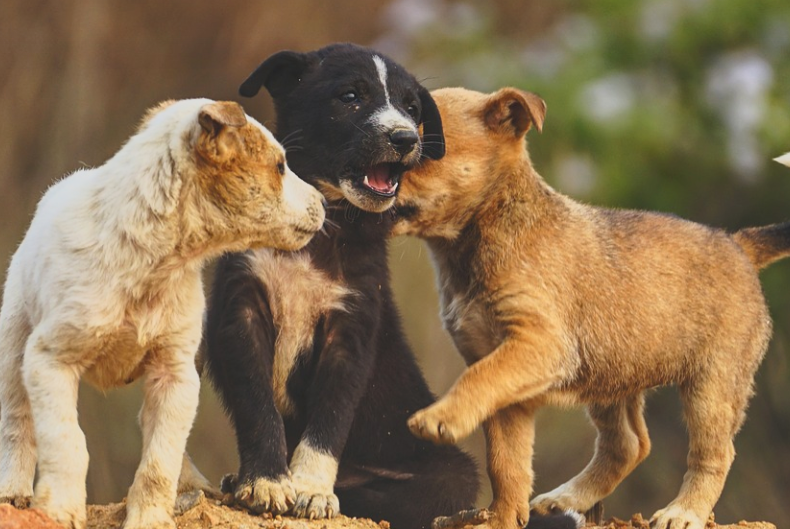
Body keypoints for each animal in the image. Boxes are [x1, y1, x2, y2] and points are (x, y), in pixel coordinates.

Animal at [0, 99, 324, 528]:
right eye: (280, 167)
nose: (324, 201)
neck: (155, 264)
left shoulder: (176, 374)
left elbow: (158, 461)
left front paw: (150, 517)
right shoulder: (50, 359)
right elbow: (67, 441)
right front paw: (60, 510)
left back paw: (193, 486)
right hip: (14, 344)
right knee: (17, 422)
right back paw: (13, 492)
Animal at [203, 44, 476, 528]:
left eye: (412, 107)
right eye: (350, 96)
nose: (406, 138)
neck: (324, 228)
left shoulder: (350, 329)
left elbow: (329, 420)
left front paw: (311, 491)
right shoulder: (242, 310)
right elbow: (258, 408)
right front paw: (268, 482)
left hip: (451, 475)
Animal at [396, 86, 790, 528]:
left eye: (424, 150)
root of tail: (738, 244)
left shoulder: (538, 344)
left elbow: (476, 383)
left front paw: (440, 418)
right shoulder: (504, 375)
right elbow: (505, 460)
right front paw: (500, 517)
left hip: (711, 385)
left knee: (714, 453)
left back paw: (684, 511)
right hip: (611, 375)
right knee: (629, 445)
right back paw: (566, 498)